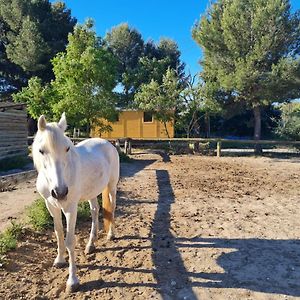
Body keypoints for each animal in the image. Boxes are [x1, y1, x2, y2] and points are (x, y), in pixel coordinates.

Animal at [32, 113, 119, 292]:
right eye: (41, 150)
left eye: (67, 148)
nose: (60, 192)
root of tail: (108, 143)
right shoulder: (51, 206)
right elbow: (58, 233)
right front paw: (59, 260)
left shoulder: (70, 208)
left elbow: (70, 240)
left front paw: (72, 281)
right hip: (92, 191)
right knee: (95, 210)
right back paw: (91, 244)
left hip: (112, 186)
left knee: (112, 208)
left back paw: (110, 234)